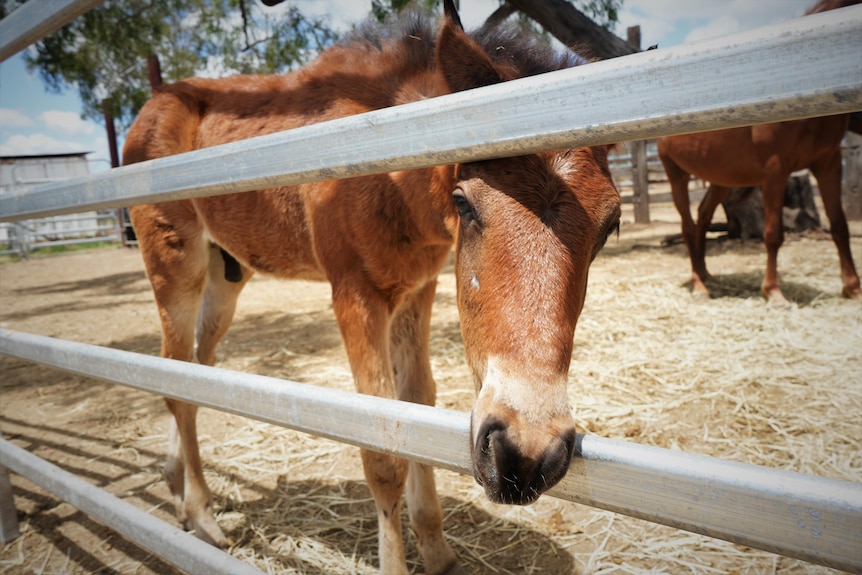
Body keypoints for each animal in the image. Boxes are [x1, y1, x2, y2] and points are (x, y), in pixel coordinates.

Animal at [123, 2, 620, 572]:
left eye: (611, 224)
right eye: (464, 203)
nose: (526, 454)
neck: (387, 165)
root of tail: (155, 99)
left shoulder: (414, 292)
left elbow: (416, 405)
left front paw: (437, 550)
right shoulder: (354, 295)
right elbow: (381, 447)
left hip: (226, 273)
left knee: (194, 371)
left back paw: (177, 484)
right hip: (175, 267)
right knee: (175, 377)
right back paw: (201, 514)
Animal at [660, 0, 860, 306]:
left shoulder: (829, 163)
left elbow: (839, 225)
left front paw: (853, 288)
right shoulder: (775, 171)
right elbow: (773, 233)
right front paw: (773, 292)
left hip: (721, 179)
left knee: (703, 217)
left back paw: (705, 273)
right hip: (676, 174)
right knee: (688, 225)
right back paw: (698, 285)